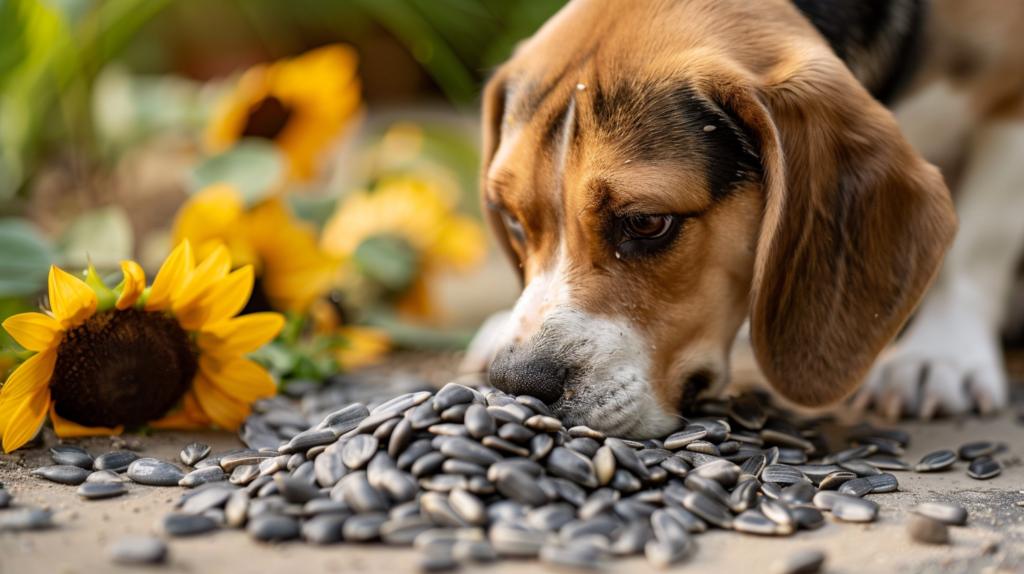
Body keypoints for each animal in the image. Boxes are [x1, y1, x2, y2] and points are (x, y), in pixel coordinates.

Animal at [471, 0, 1024, 433]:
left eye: (646, 222)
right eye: (513, 221)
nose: (516, 382)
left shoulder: (1009, 100)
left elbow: (982, 239)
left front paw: (941, 353)